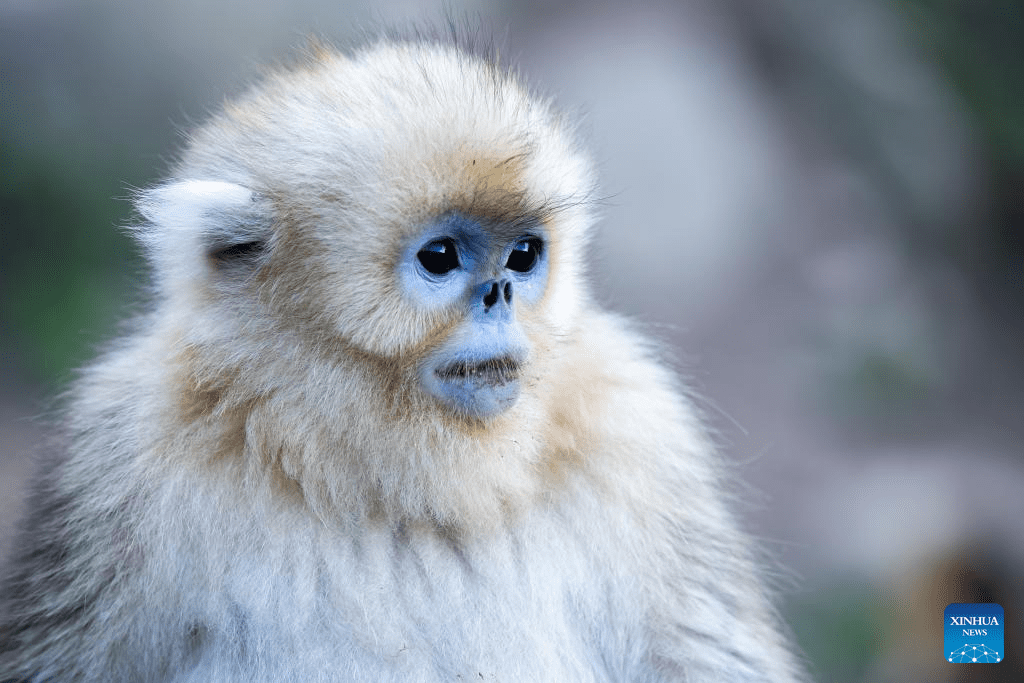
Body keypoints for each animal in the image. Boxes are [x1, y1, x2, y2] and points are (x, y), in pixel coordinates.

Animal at [0, 33, 806, 683]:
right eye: (441, 257)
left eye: (523, 255)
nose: (499, 294)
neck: (394, 491)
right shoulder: (122, 450)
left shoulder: (639, 426)